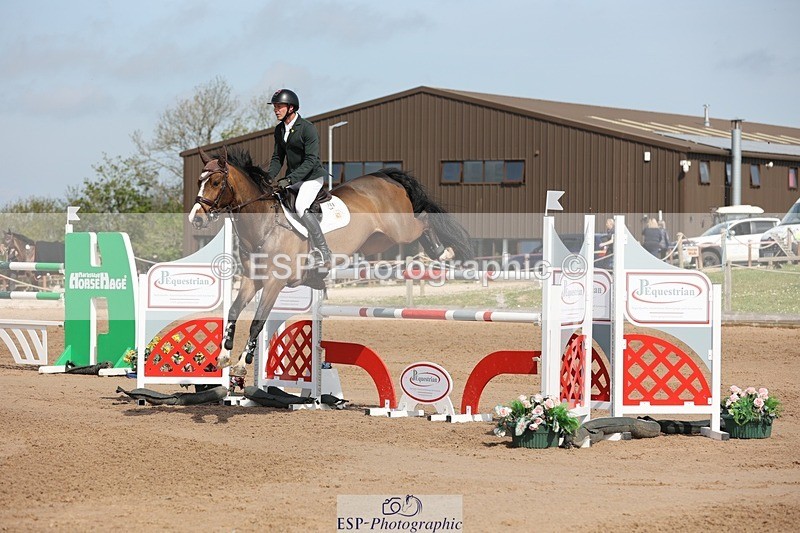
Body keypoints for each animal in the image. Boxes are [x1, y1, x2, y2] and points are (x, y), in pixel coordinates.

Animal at [188, 146, 473, 378]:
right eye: (199, 181)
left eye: (216, 181)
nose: (196, 219)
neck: (265, 224)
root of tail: (383, 176)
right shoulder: (251, 281)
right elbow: (234, 311)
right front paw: (223, 357)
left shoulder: (273, 284)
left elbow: (258, 321)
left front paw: (241, 364)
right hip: (378, 241)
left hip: (400, 230)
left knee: (423, 219)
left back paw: (443, 252)